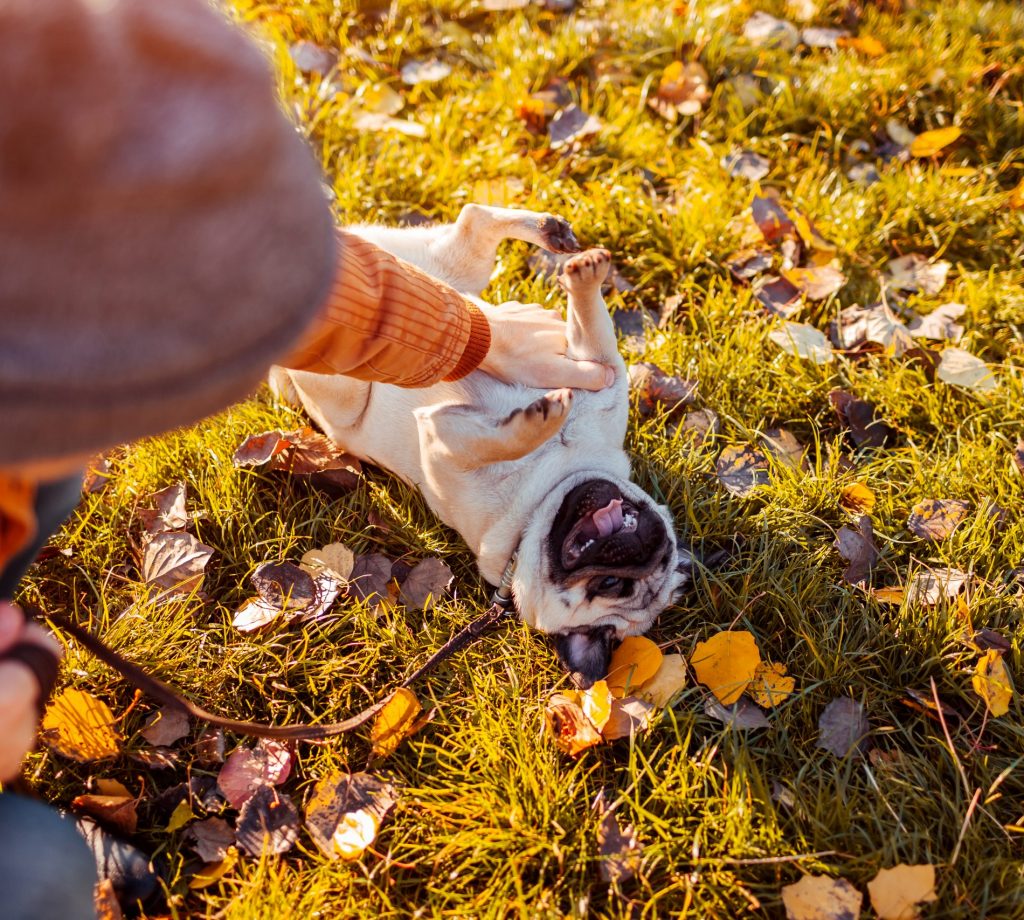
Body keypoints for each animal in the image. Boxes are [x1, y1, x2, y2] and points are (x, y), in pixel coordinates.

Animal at [268, 205, 700, 680]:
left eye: (609, 584)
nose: (640, 542)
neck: (543, 495)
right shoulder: (602, 374)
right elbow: (592, 327)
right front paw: (585, 282)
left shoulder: (440, 444)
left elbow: (492, 442)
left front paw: (533, 421)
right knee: (473, 223)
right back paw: (551, 235)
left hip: (346, 383)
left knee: (469, 225)